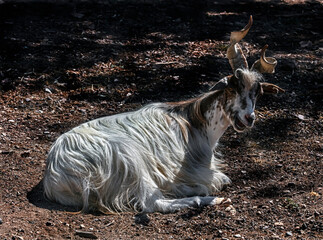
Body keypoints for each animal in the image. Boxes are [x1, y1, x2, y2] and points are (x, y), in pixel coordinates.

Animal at [42, 15, 284, 213]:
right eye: (233, 86)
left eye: (258, 93)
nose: (249, 118)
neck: (195, 123)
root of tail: (55, 173)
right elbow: (223, 178)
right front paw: (196, 187)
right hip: (129, 159)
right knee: (152, 203)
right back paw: (206, 198)